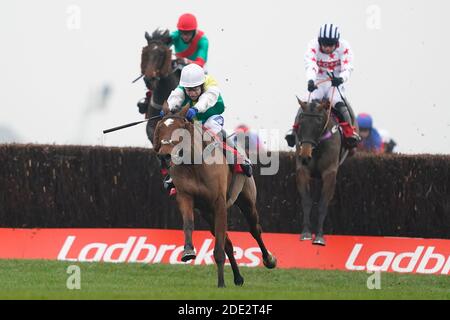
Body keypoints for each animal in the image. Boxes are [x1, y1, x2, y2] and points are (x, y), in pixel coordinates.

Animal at [153, 104, 276, 288]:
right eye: (160, 127)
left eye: (180, 129)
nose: (164, 155)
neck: (195, 165)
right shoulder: (186, 197)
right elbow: (188, 224)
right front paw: (188, 251)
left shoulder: (219, 203)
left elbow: (219, 247)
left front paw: (221, 283)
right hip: (208, 214)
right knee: (228, 243)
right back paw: (238, 277)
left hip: (246, 200)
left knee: (255, 229)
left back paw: (268, 260)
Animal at [294, 97, 350, 245]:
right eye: (301, 120)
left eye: (319, 122)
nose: (305, 155)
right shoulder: (303, 170)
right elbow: (307, 201)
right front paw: (306, 233)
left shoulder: (329, 173)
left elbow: (323, 204)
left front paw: (319, 236)